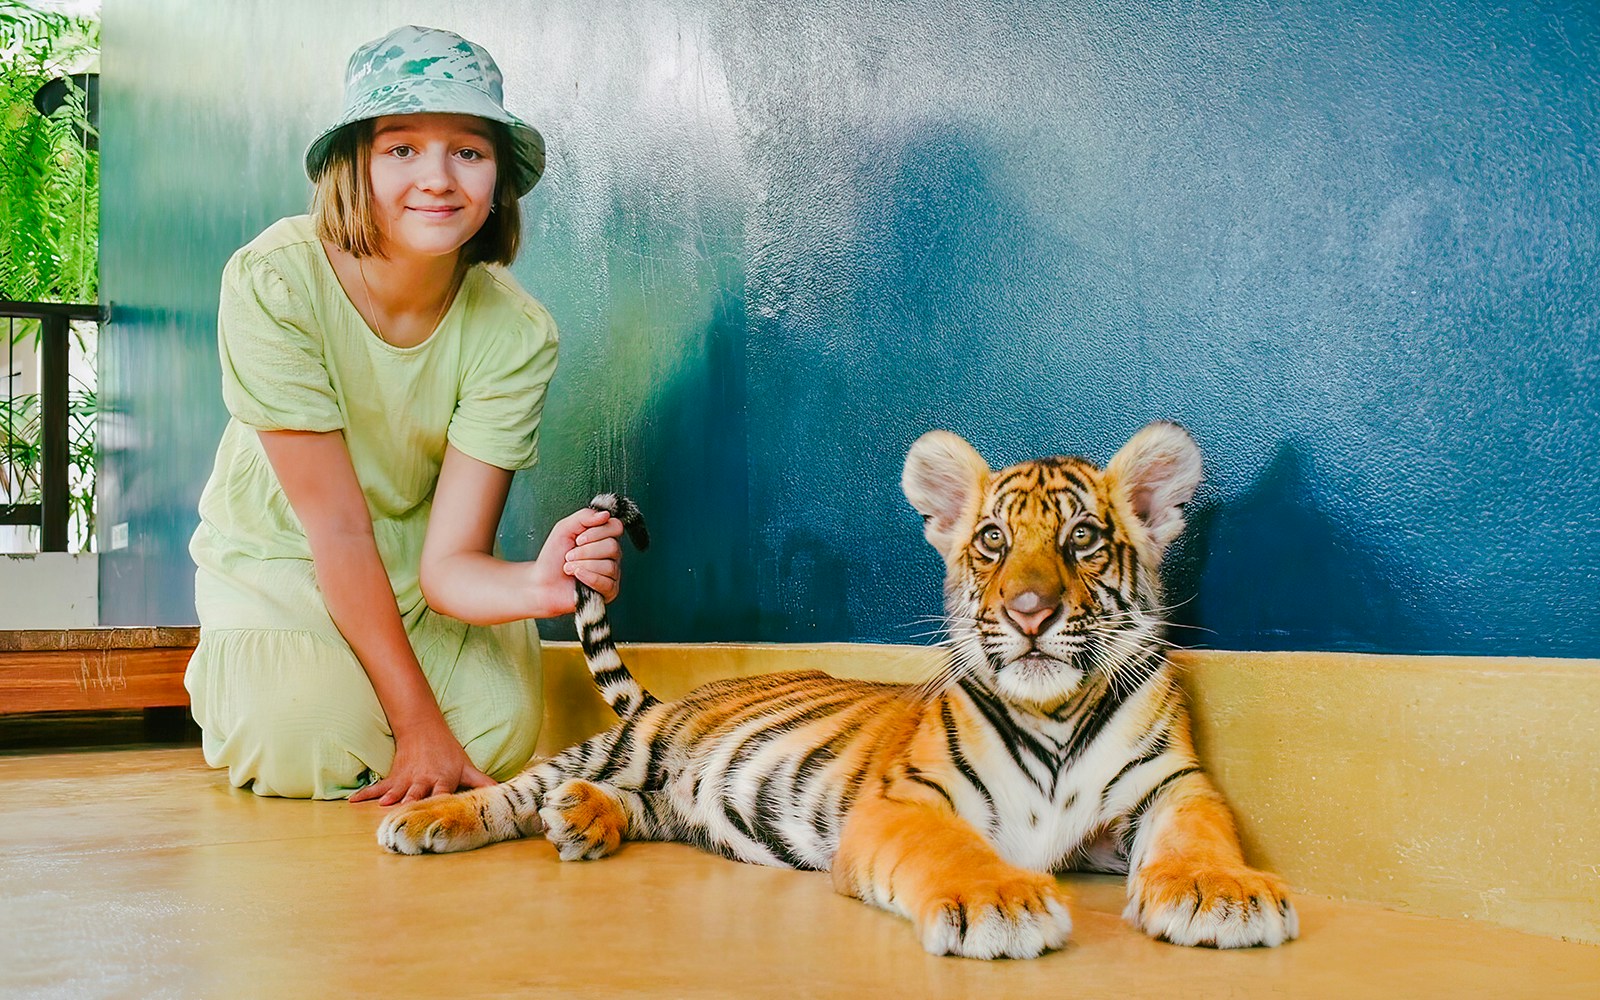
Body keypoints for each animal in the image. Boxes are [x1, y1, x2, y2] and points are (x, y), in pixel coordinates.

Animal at [378, 421, 1298, 959]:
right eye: (993, 541)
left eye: (1082, 540)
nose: (1030, 612)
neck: (1056, 717)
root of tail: (673, 702)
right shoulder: (905, 802)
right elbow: (953, 850)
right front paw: (998, 898)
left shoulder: (1174, 788)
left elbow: (1201, 836)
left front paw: (1224, 893)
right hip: (619, 745)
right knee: (512, 790)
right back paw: (431, 819)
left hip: (668, 797)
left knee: (635, 807)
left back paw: (583, 819)